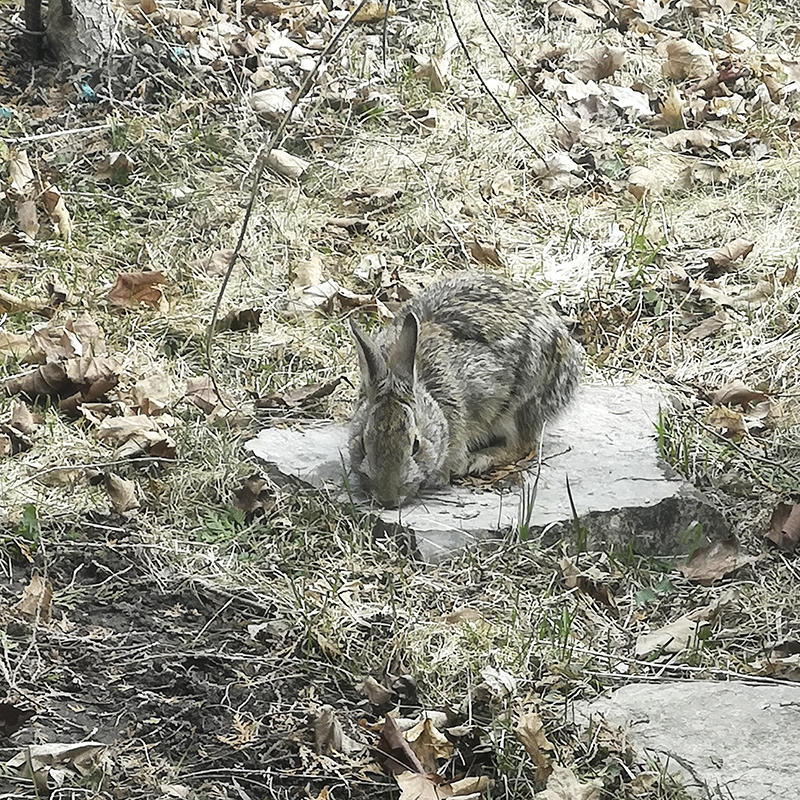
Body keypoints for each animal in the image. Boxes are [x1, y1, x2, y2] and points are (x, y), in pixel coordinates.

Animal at [349, 272, 581, 507]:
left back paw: (475, 461)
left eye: (416, 445)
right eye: (363, 444)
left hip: (520, 405)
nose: (388, 500)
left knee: (524, 445)